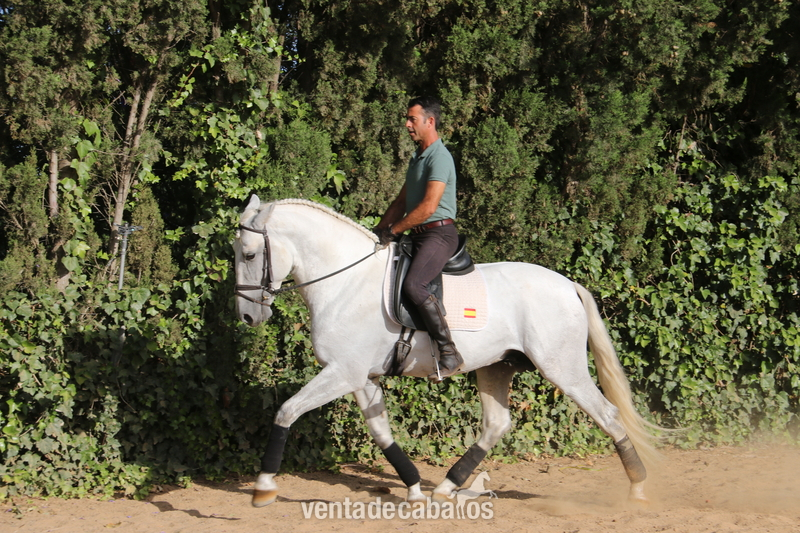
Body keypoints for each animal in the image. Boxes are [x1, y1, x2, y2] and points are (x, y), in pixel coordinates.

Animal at [234, 196, 659, 508]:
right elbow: (381, 433)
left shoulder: (343, 372)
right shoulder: (360, 377)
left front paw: (264, 486)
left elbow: (286, 410)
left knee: (608, 414)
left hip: (562, 368)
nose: (247, 316)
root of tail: (568, 284)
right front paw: (414, 489)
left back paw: (639, 489)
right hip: (496, 367)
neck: (346, 282)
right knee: (496, 424)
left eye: (250, 255)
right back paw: (446, 487)